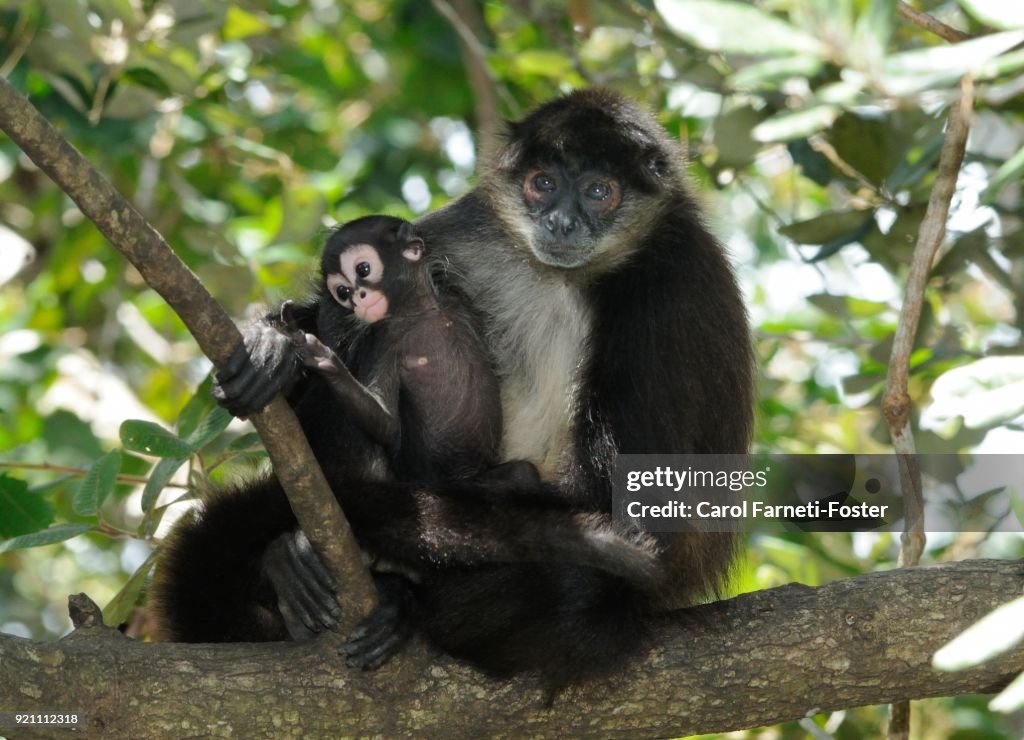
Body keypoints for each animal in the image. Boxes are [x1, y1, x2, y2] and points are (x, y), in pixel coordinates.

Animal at [149, 88, 754, 692]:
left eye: (600, 192)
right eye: (542, 183)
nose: (559, 222)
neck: (563, 276)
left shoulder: (673, 279)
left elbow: (626, 497)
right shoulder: (472, 225)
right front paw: (276, 346)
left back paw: (389, 592)